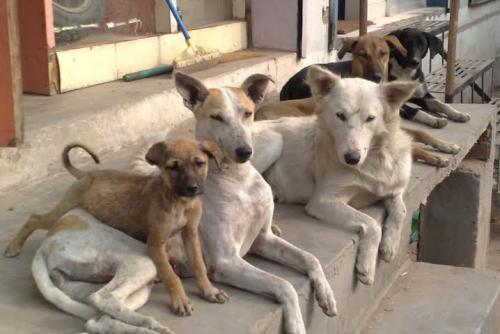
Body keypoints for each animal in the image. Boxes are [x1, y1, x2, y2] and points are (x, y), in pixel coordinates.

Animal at [4, 139, 228, 318]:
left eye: (199, 163)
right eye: (173, 167)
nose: (192, 188)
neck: (178, 202)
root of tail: (87, 175)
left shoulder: (190, 234)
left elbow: (199, 264)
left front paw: (209, 290)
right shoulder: (155, 243)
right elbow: (170, 276)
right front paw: (180, 300)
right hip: (62, 210)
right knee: (34, 219)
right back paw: (13, 247)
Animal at [132, 72, 336, 332]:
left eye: (247, 113)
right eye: (217, 117)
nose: (245, 151)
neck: (239, 181)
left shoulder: (263, 240)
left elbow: (310, 258)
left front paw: (326, 294)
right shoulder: (226, 261)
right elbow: (284, 284)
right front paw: (296, 324)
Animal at [252, 66, 416, 286]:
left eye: (370, 119)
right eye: (340, 116)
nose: (352, 158)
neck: (373, 160)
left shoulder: (392, 190)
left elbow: (401, 210)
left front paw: (390, 246)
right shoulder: (322, 201)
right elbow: (372, 223)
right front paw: (366, 265)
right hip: (273, 142)